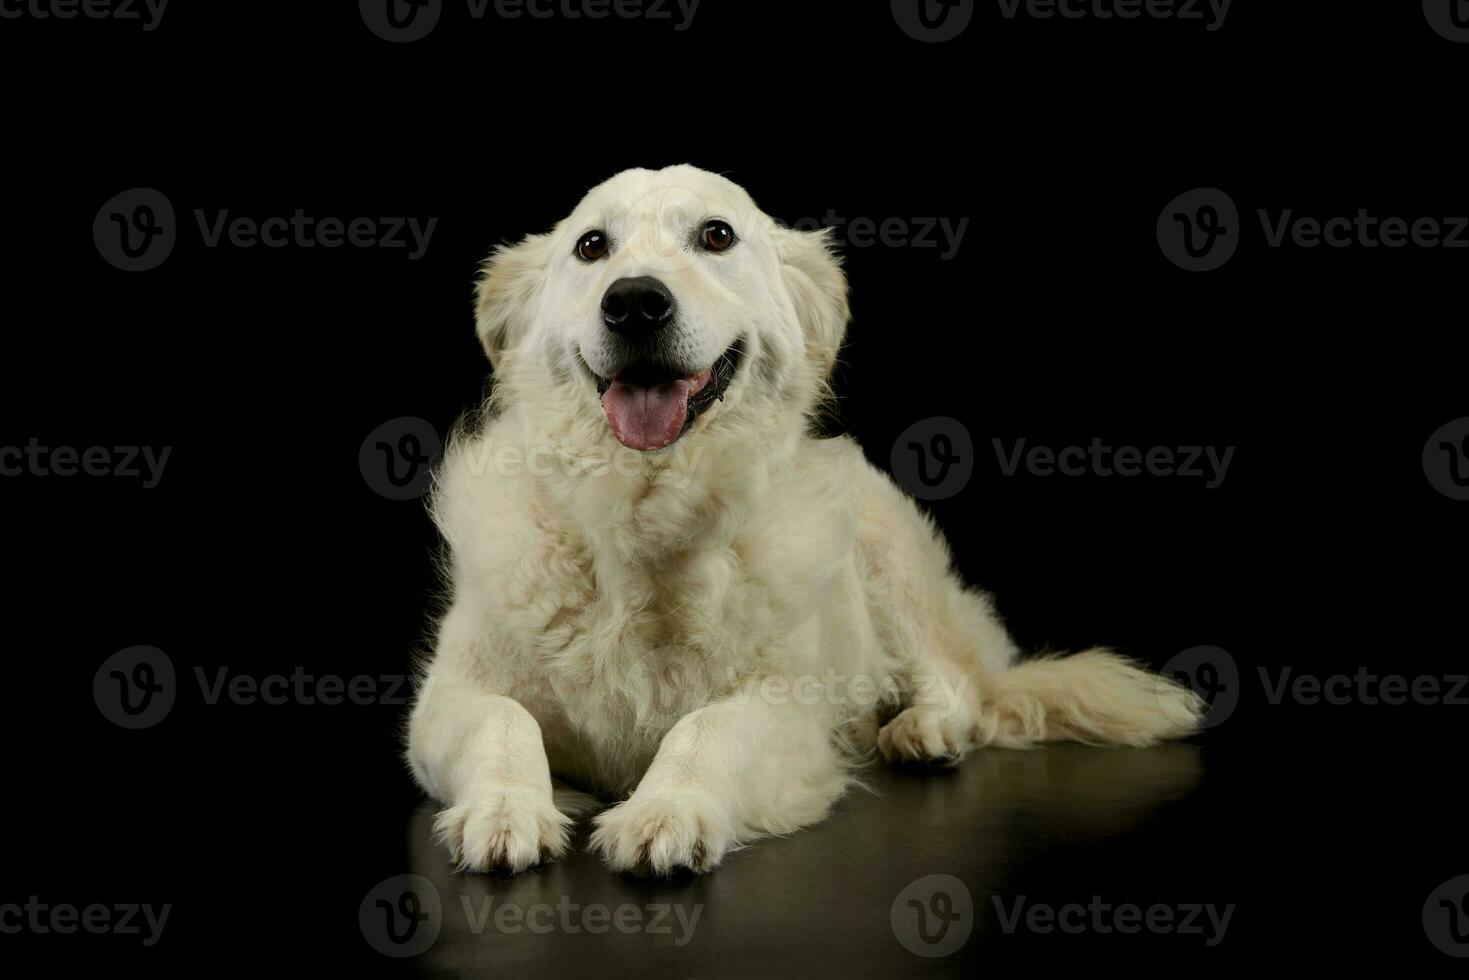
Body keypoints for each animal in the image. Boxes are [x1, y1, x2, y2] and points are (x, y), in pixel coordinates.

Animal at [405, 164, 1204, 875]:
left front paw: (666, 811)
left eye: (717, 235)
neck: (647, 512)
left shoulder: (788, 711)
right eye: (591, 246)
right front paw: (505, 810)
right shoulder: (445, 698)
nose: (634, 302)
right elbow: (503, 721)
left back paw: (924, 730)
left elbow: (706, 729)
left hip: (883, 547)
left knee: (960, 685)